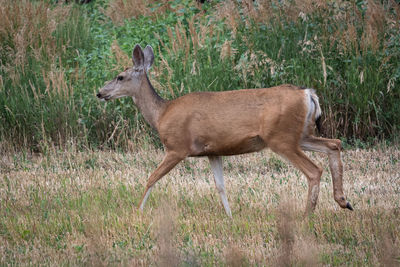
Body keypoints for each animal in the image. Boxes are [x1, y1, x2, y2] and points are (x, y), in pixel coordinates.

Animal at [97, 43, 354, 217]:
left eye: (120, 76)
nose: (100, 92)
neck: (161, 114)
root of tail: (308, 93)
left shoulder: (177, 147)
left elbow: (151, 178)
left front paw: (138, 210)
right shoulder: (213, 151)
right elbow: (220, 186)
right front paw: (230, 216)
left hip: (281, 138)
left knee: (314, 170)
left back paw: (307, 215)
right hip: (299, 135)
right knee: (334, 144)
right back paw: (344, 201)